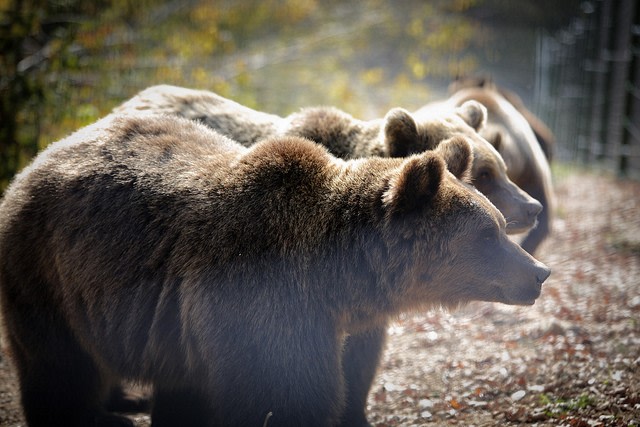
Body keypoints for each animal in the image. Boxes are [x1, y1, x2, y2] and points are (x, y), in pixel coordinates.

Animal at [0, 112, 550, 427]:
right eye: (488, 233)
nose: (539, 272)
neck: (337, 274)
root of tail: (42, 156)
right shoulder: (267, 302)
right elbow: (287, 396)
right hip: (49, 276)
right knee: (61, 368)